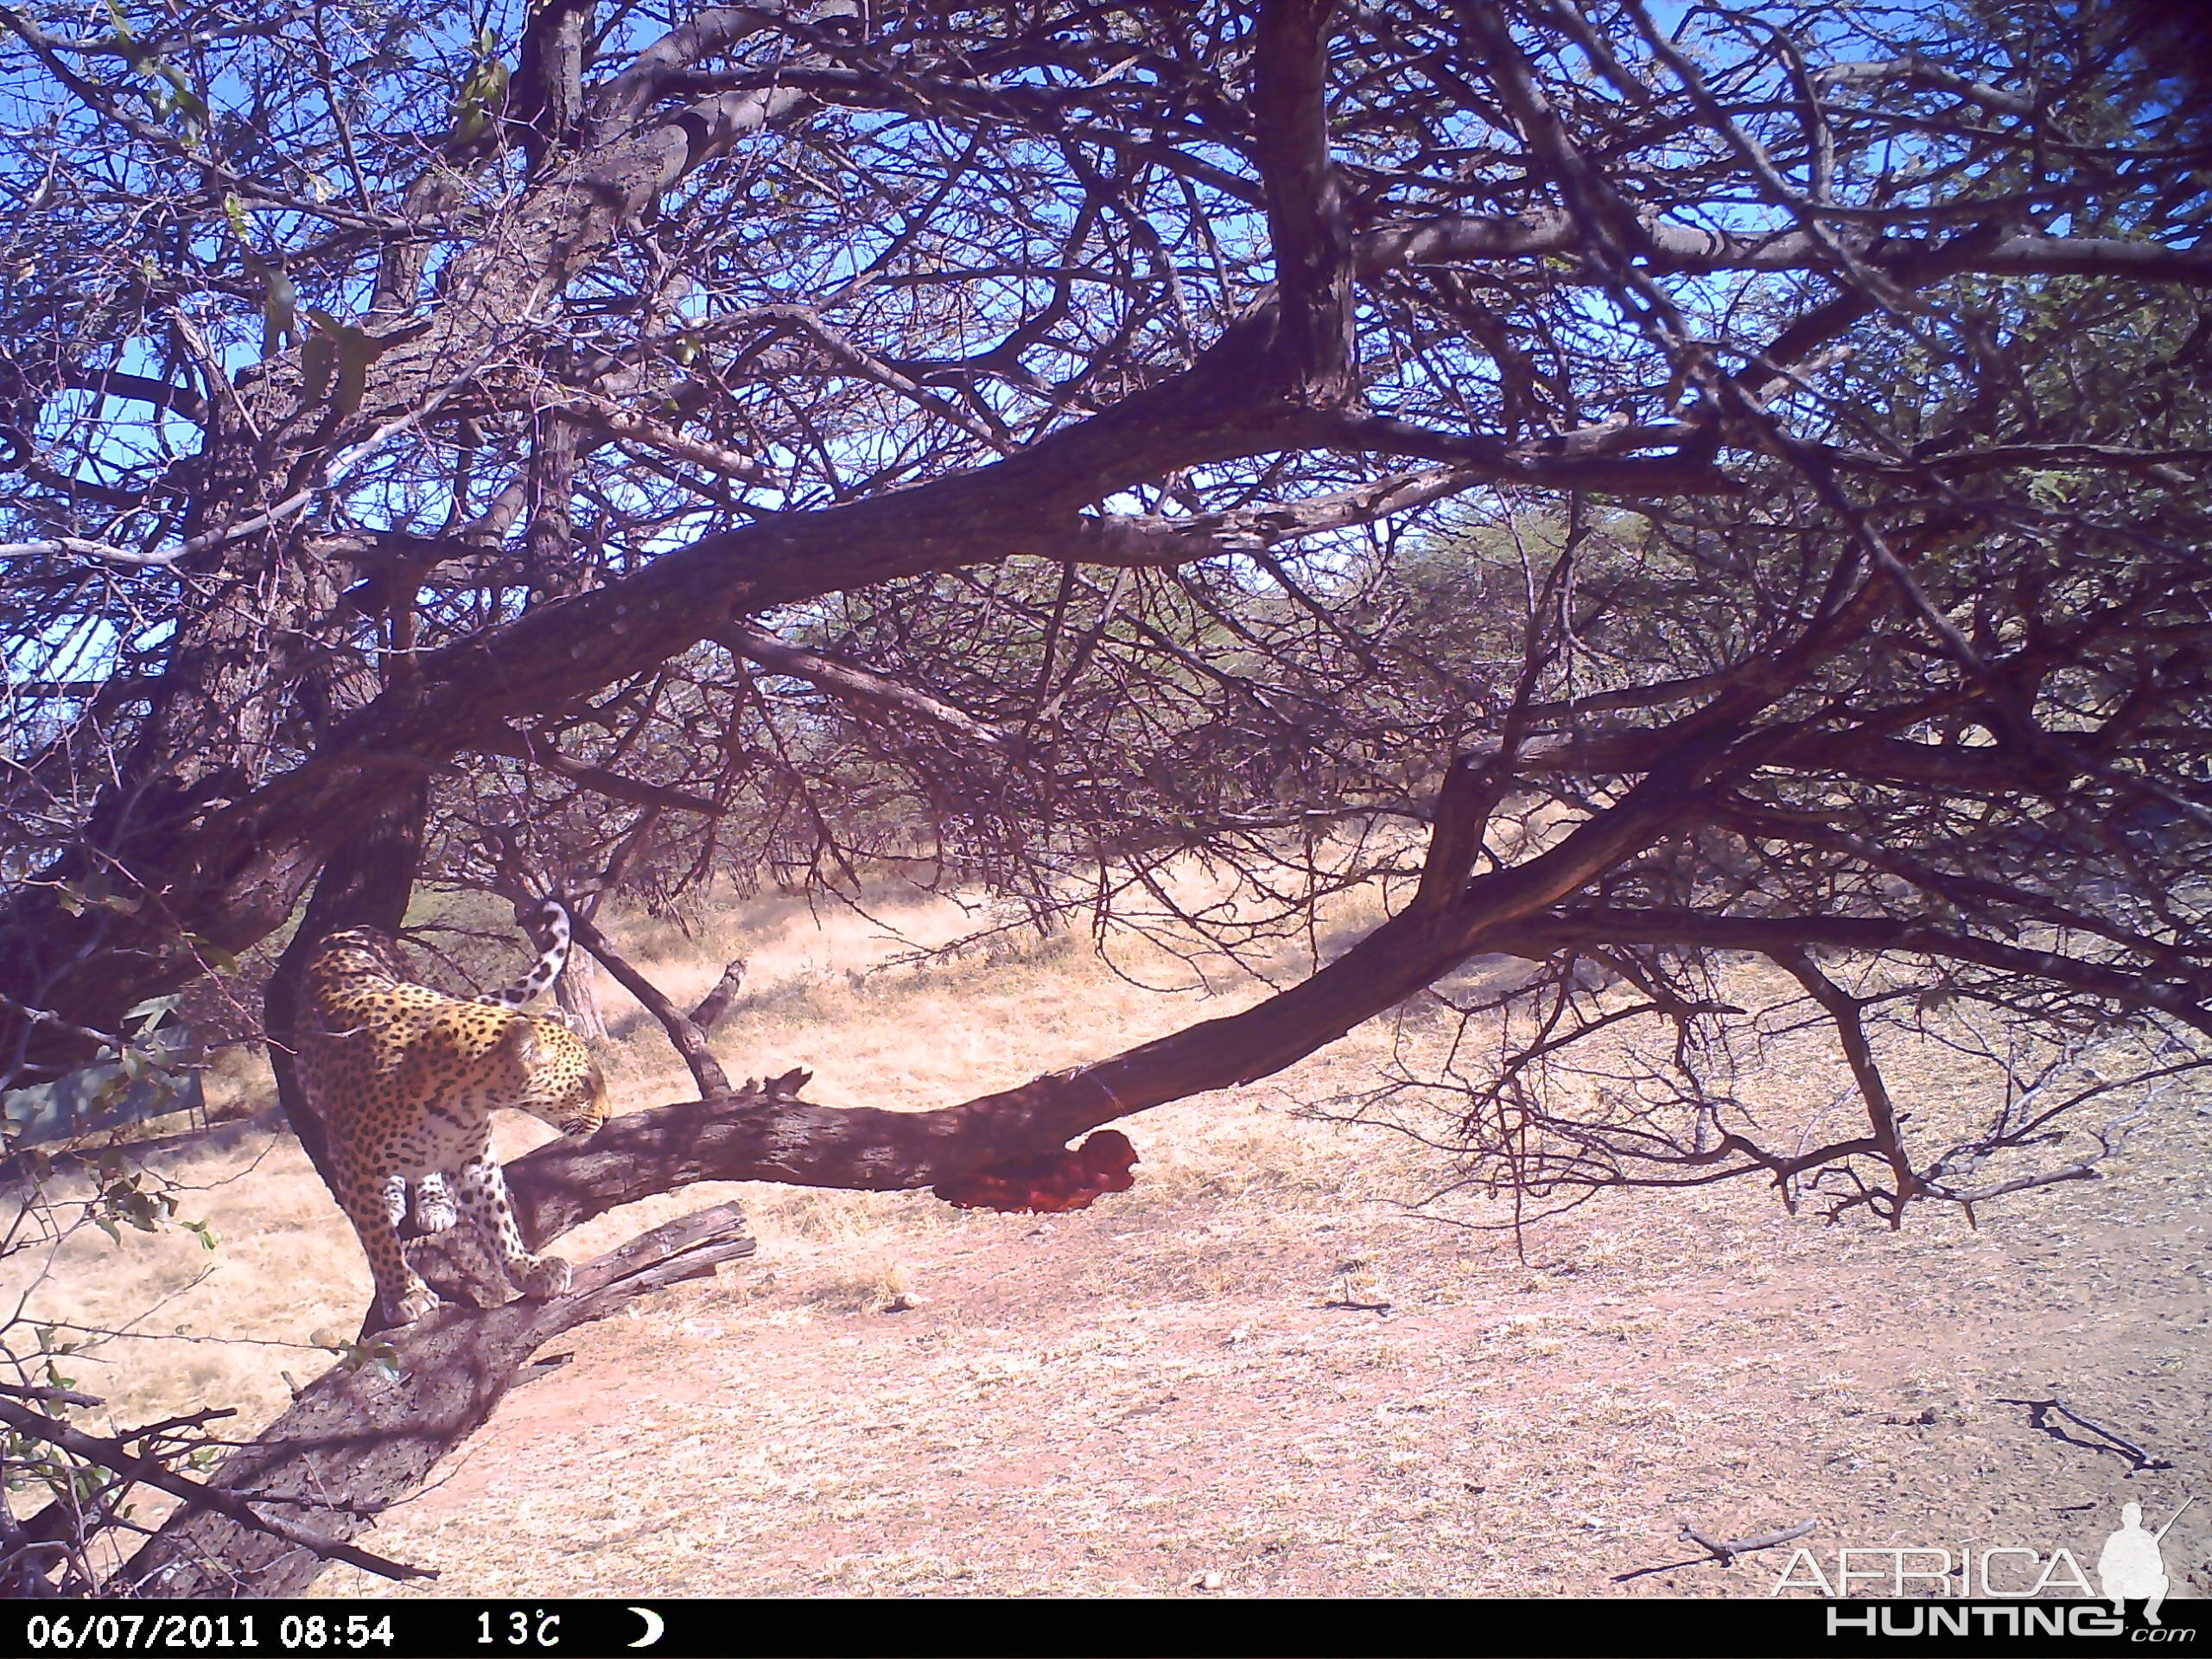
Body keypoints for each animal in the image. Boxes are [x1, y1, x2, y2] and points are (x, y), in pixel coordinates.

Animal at [294, 902, 610, 1336]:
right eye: (584, 1083)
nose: (608, 1117)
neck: (463, 1096)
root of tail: (350, 928)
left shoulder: (475, 1156)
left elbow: (498, 1218)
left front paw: (527, 1269)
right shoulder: (352, 1162)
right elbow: (377, 1237)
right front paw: (404, 1294)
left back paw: (432, 1202)